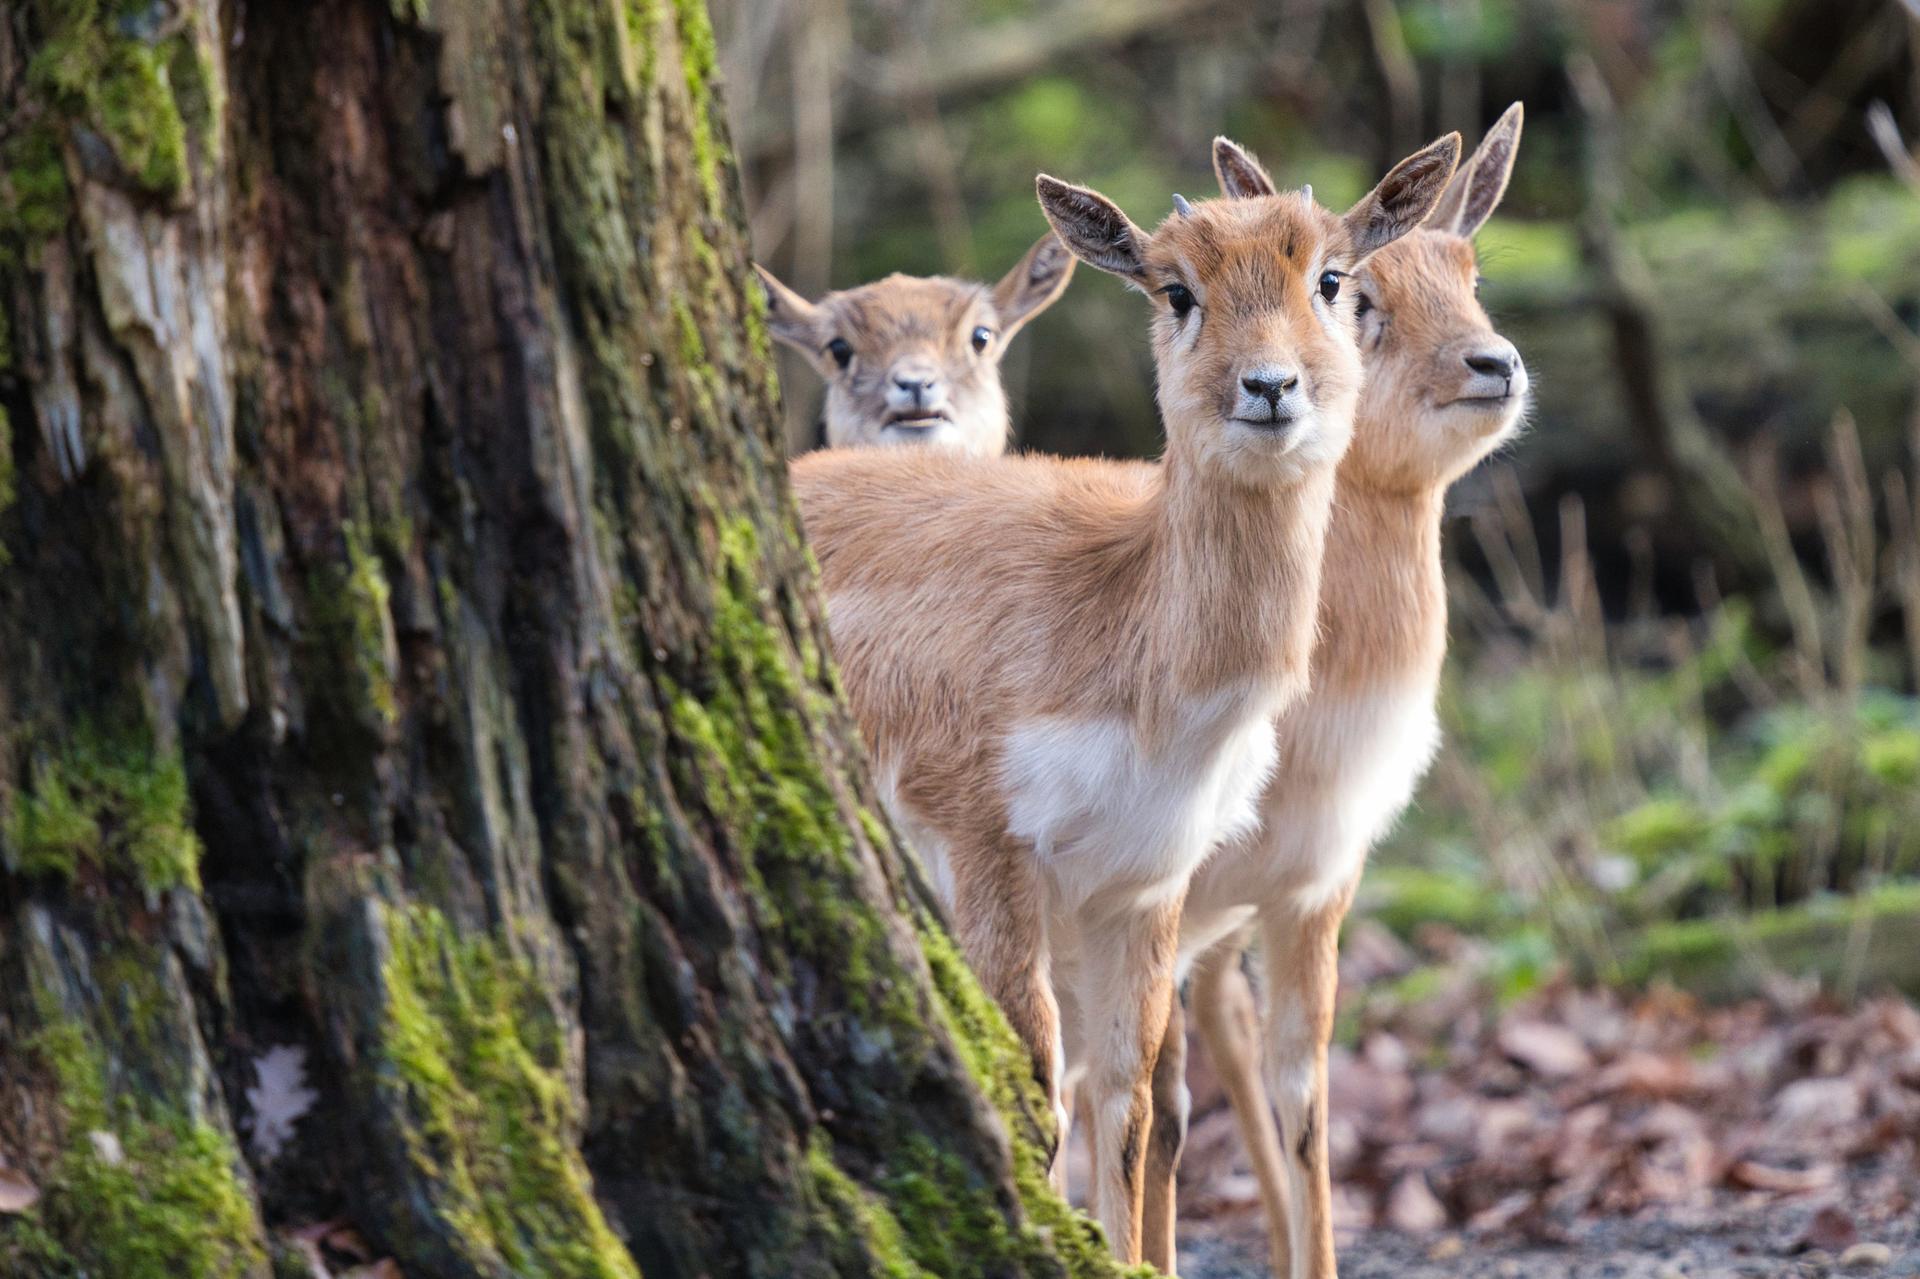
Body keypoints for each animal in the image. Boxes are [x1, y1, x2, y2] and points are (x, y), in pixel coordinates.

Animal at [787, 134, 1459, 1259]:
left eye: (1330, 278)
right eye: (1174, 287)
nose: (1269, 385)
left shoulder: (1145, 882)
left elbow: (1128, 1101)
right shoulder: (987, 839)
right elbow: (1034, 1081)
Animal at [1121, 104, 1528, 1267]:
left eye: (1470, 269)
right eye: (1363, 294)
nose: (1496, 362)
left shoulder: (1318, 883)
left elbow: (1309, 1101)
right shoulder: (1166, 889)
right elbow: (1162, 1110)